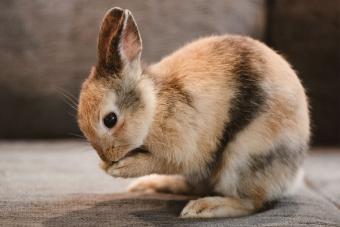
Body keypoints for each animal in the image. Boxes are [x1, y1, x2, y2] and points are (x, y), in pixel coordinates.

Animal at [77, 7, 310, 219]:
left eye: (110, 119)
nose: (107, 157)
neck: (155, 108)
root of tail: (292, 176)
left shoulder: (185, 149)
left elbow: (162, 162)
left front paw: (120, 168)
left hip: (244, 159)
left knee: (251, 202)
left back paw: (202, 208)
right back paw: (151, 185)